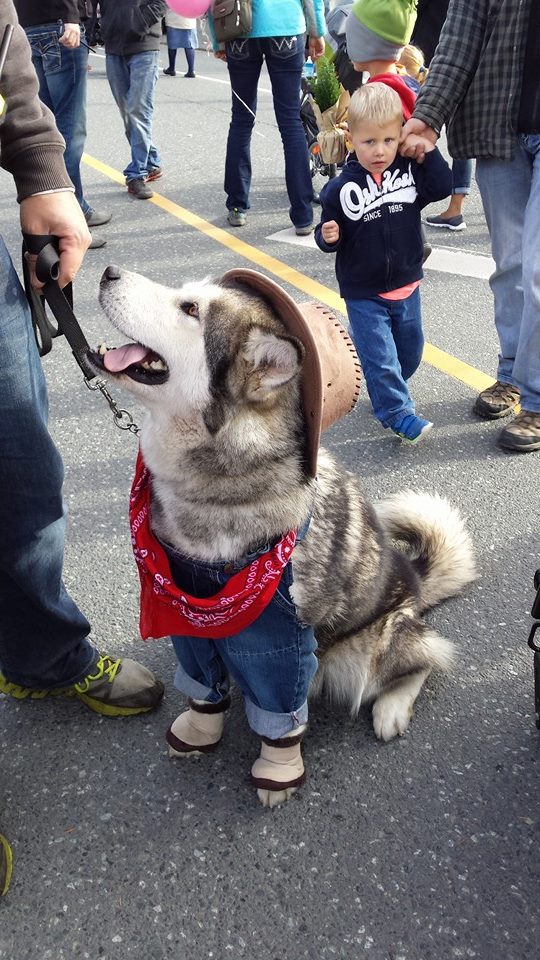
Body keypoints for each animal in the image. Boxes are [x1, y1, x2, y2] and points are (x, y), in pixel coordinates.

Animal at [88, 266, 476, 808]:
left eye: (190, 309)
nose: (107, 272)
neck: (217, 491)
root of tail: (415, 587)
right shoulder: (187, 618)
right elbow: (202, 688)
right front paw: (199, 728)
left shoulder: (276, 644)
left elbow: (280, 716)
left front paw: (277, 771)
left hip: (365, 650)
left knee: (423, 659)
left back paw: (391, 708)